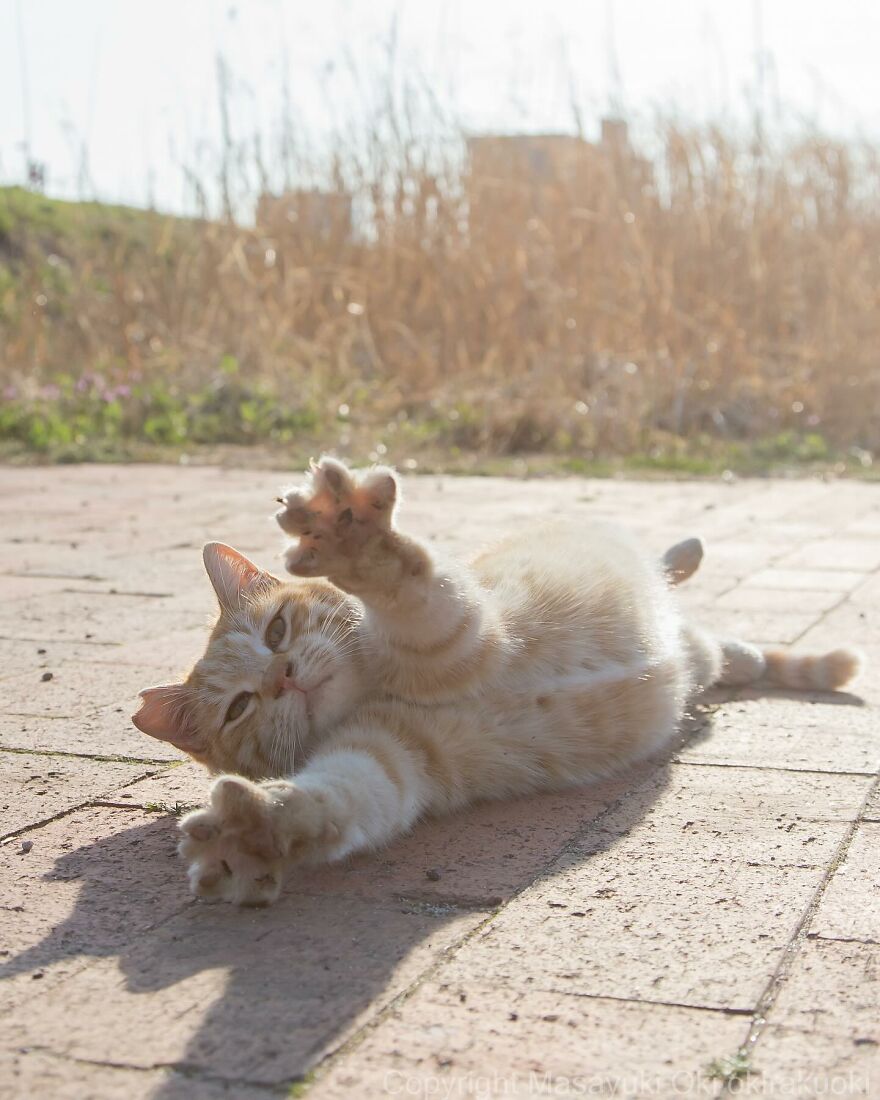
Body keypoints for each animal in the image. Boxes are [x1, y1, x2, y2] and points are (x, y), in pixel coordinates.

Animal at [134, 455, 862, 902]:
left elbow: (402, 581)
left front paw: (351, 539)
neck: (377, 688)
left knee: (681, 584)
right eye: (238, 709)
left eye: (277, 631)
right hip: (691, 654)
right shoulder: (384, 759)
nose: (283, 678)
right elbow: (334, 800)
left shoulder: (464, 628)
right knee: (704, 646)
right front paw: (255, 833)